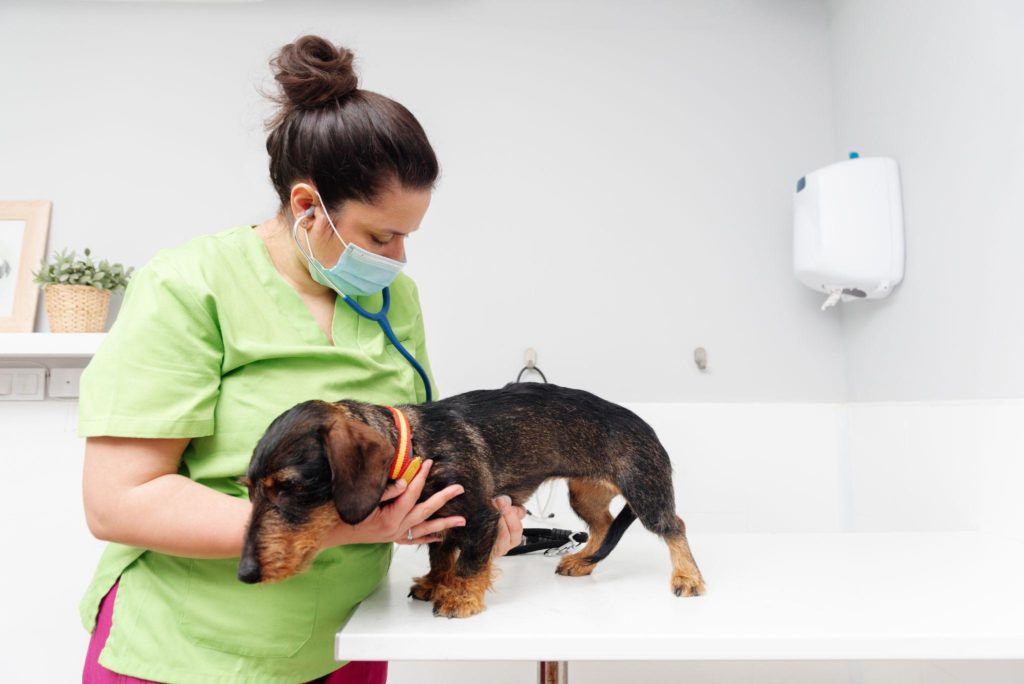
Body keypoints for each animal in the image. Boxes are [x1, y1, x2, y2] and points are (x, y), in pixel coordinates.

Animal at [238, 382, 704, 618]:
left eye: (289, 488)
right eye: (250, 488)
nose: (244, 574)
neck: (414, 449)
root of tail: (642, 422)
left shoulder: (482, 517)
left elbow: (469, 563)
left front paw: (460, 597)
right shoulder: (443, 521)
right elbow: (441, 554)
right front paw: (434, 583)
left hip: (644, 489)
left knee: (674, 527)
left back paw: (688, 577)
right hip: (584, 492)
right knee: (603, 526)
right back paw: (581, 561)